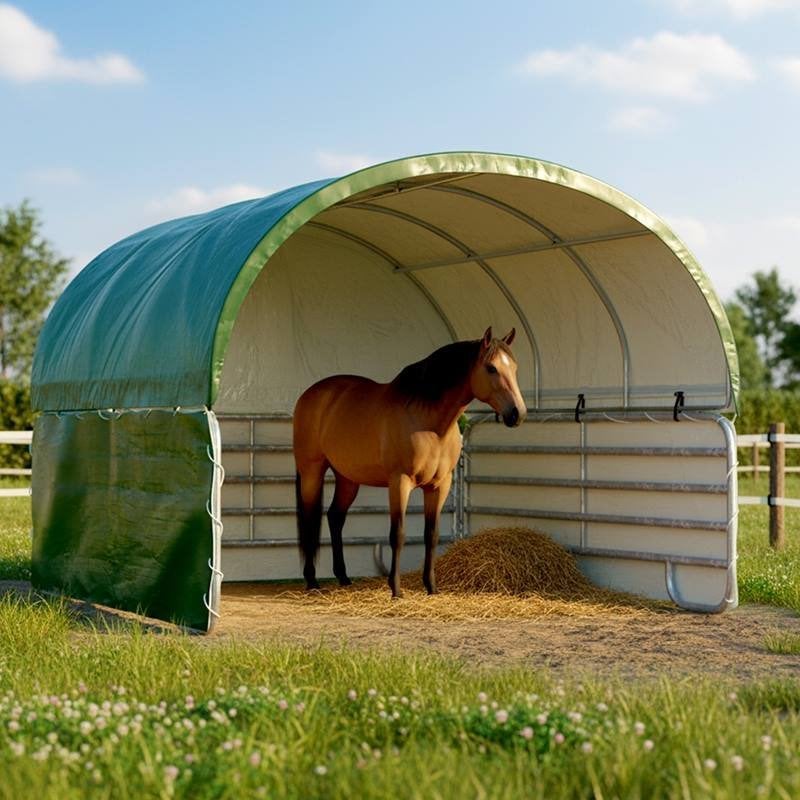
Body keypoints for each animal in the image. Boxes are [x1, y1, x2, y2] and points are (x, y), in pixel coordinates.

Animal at [293, 327, 526, 598]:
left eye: (515, 368)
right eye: (491, 368)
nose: (518, 413)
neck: (428, 422)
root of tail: (311, 394)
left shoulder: (439, 485)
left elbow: (431, 535)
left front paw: (431, 587)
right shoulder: (400, 482)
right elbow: (399, 534)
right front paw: (396, 590)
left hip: (347, 478)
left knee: (335, 517)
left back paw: (343, 577)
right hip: (312, 471)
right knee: (310, 518)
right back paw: (312, 581)